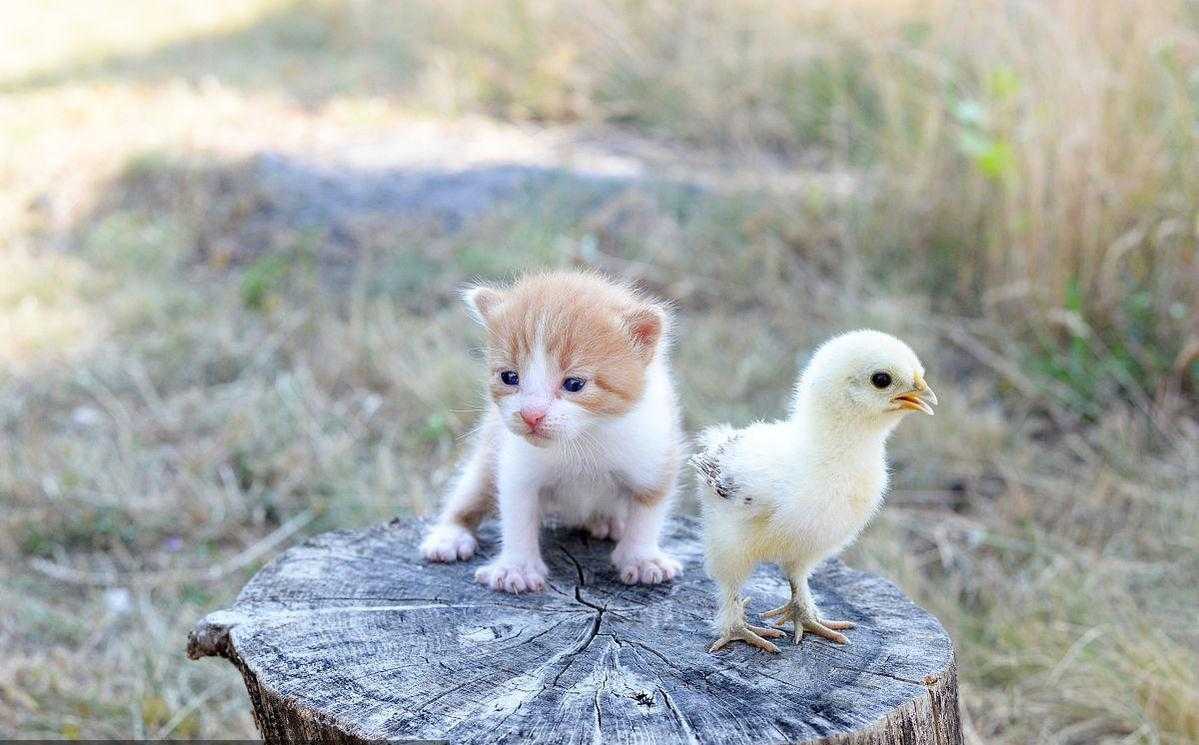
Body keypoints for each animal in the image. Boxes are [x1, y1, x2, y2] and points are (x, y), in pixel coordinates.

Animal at [422, 268, 685, 592]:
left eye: (574, 384)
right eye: (509, 377)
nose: (531, 415)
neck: (583, 440)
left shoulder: (656, 458)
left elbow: (648, 514)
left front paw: (642, 559)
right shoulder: (517, 469)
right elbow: (518, 516)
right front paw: (517, 568)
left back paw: (609, 522)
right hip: (487, 453)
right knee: (468, 492)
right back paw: (450, 535)